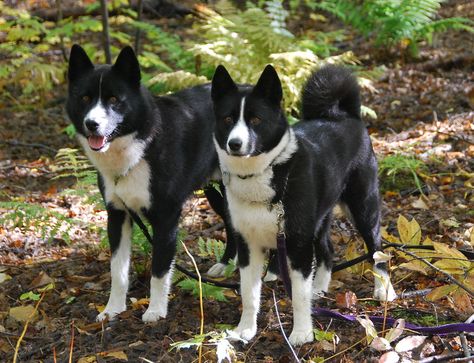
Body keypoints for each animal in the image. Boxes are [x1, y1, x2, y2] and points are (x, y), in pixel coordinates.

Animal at [66, 46, 237, 324]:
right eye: (85, 98)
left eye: (114, 99)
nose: (91, 124)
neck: (138, 148)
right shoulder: (117, 214)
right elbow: (118, 270)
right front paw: (113, 309)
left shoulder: (166, 218)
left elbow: (159, 270)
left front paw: (155, 311)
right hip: (215, 188)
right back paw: (225, 265)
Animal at [211, 65, 396, 346]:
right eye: (227, 119)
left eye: (255, 120)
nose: (235, 144)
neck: (267, 173)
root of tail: (345, 115)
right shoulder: (248, 246)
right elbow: (248, 294)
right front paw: (245, 329)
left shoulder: (297, 244)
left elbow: (298, 296)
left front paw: (301, 333)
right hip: (319, 220)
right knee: (328, 250)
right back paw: (318, 287)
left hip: (363, 207)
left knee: (377, 248)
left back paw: (383, 289)